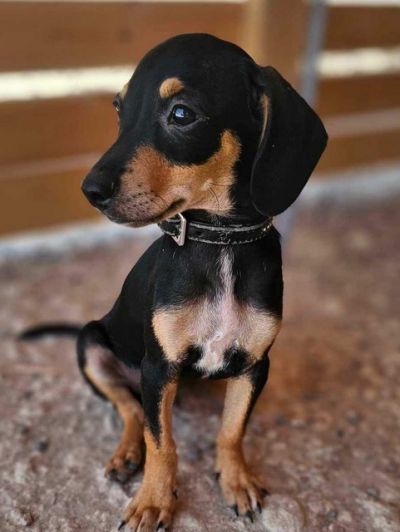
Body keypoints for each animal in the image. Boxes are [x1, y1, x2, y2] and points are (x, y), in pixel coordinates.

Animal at [21, 33, 327, 531]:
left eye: (181, 114)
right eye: (119, 110)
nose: (90, 190)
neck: (219, 243)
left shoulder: (254, 365)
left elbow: (232, 429)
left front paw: (236, 478)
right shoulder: (158, 367)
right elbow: (161, 442)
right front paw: (154, 500)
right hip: (92, 344)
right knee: (130, 408)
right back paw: (127, 454)